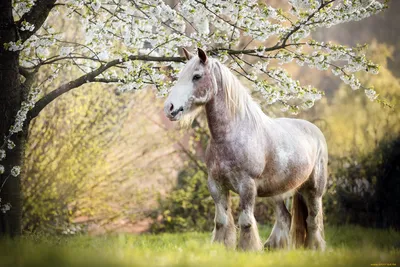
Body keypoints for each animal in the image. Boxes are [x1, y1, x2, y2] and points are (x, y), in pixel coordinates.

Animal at [163, 48, 328, 253]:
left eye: (197, 76)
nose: (169, 108)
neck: (232, 134)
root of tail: (315, 131)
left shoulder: (247, 186)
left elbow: (246, 221)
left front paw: (247, 249)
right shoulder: (216, 185)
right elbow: (221, 221)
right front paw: (221, 248)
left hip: (314, 190)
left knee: (313, 221)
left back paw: (315, 248)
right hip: (278, 193)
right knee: (285, 218)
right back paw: (275, 248)